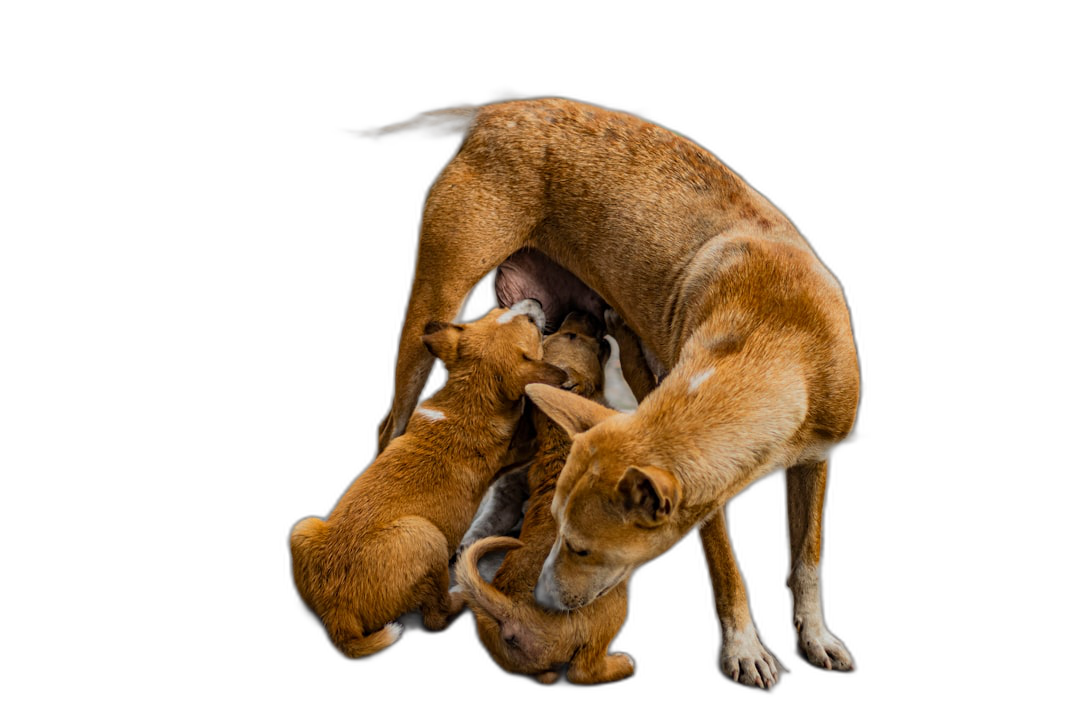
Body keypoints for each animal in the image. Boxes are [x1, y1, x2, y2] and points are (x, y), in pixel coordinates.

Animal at [291, 297, 570, 660]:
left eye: (499, 312)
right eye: (532, 324)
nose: (534, 300)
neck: (467, 397)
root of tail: (337, 613)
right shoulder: (520, 449)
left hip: (302, 528)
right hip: (429, 537)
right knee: (436, 617)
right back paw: (461, 597)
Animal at [455, 313, 630, 686]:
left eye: (562, 334)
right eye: (572, 336)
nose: (581, 312)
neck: (556, 435)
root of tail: (511, 613)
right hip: (609, 604)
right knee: (583, 671)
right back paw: (621, 664)